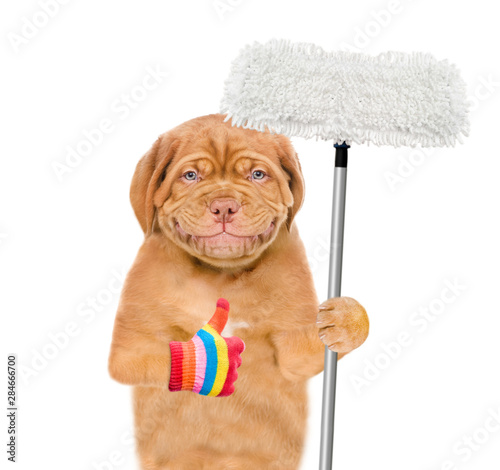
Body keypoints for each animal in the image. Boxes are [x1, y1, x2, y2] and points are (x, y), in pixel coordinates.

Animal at [108, 114, 368, 470]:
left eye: (257, 174)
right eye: (190, 175)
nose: (224, 206)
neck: (222, 274)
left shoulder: (296, 350)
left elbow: (313, 350)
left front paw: (345, 319)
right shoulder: (131, 344)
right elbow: (160, 356)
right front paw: (210, 356)